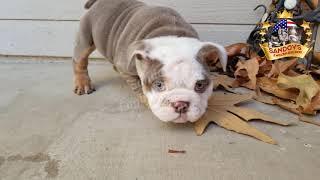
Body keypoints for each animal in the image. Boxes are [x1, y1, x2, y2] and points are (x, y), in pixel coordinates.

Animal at [73, 0, 228, 123]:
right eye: (158, 85)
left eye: (200, 85)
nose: (180, 104)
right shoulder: (127, 68)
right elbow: (138, 86)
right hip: (86, 38)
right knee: (80, 60)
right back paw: (83, 83)